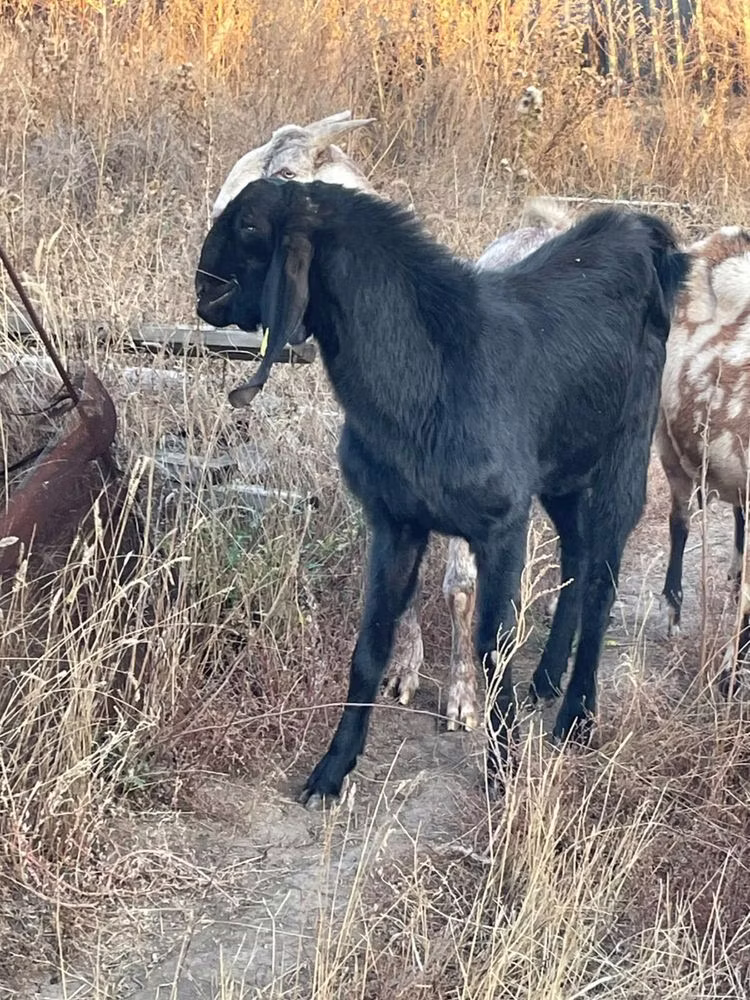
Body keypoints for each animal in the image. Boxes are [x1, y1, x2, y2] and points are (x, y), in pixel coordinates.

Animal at [195, 178, 689, 803]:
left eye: (250, 227)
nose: (203, 292)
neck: (429, 369)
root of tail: (639, 233)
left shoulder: (502, 523)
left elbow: (492, 647)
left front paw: (503, 772)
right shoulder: (396, 519)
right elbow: (371, 644)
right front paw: (332, 771)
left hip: (626, 447)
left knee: (602, 575)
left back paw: (576, 716)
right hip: (562, 468)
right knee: (577, 553)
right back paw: (547, 678)